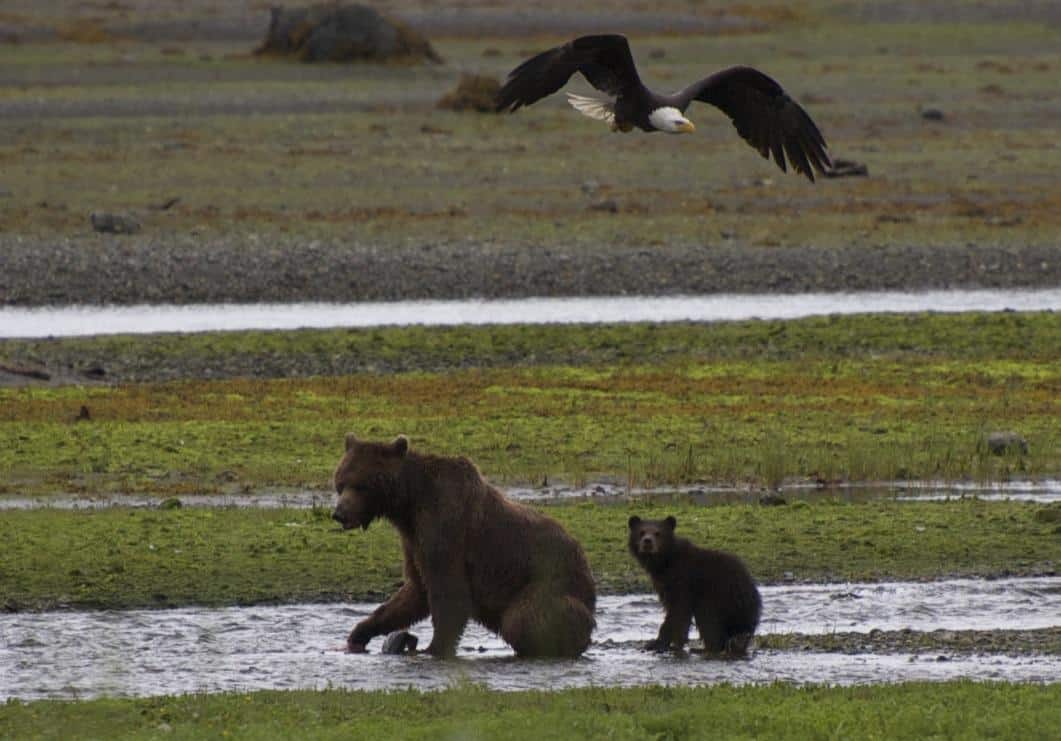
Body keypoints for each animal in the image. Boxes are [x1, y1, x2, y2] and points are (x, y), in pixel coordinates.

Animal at [332, 433, 597, 658]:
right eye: (341, 483)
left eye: (360, 485)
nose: (339, 513)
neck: (409, 502)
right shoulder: (412, 539)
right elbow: (415, 591)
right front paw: (360, 633)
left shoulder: (444, 525)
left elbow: (448, 592)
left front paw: (433, 648)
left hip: (549, 579)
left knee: (523, 617)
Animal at [628, 515, 761, 656]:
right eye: (641, 532)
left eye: (658, 533)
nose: (647, 542)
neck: (665, 562)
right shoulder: (666, 585)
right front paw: (676, 643)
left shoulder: (683, 581)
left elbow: (677, 611)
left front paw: (656, 643)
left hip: (721, 598)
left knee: (710, 622)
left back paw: (707, 648)